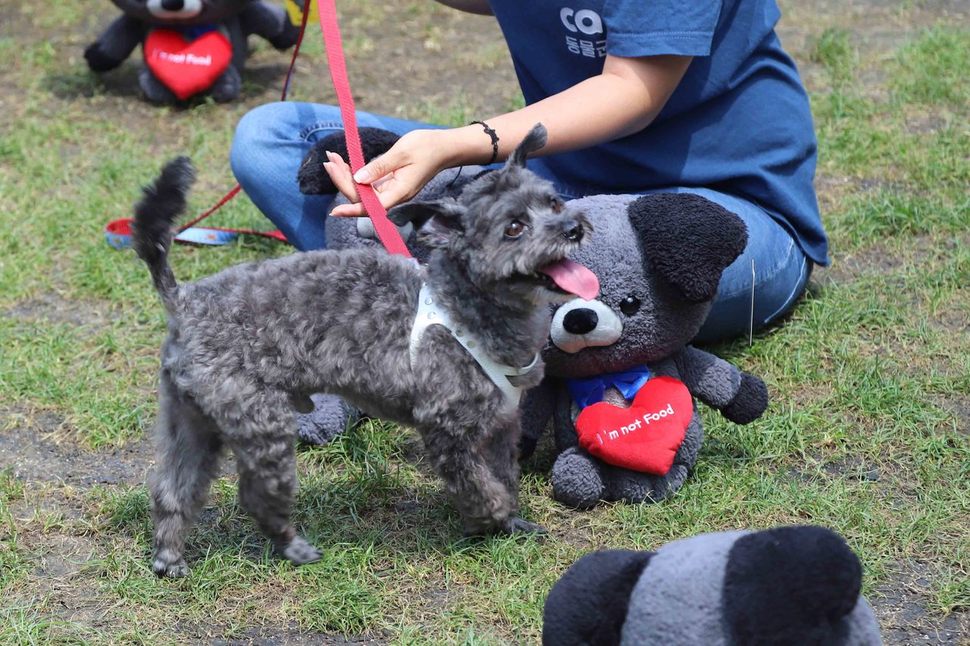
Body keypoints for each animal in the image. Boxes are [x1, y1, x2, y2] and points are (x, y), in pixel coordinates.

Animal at [131, 125, 592, 576]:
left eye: (553, 202)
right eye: (514, 227)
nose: (573, 227)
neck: (466, 306)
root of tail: (185, 300)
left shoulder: (500, 423)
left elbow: (505, 476)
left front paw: (512, 522)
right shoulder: (446, 428)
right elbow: (481, 486)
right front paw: (489, 521)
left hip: (192, 419)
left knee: (174, 488)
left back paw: (169, 558)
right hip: (260, 421)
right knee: (256, 497)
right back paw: (293, 547)